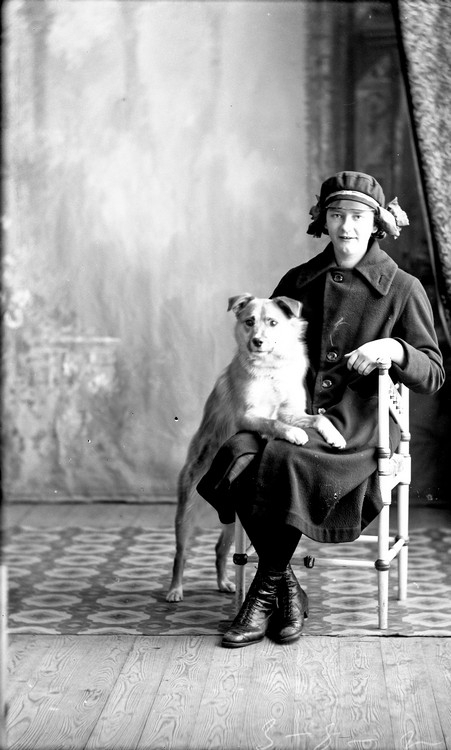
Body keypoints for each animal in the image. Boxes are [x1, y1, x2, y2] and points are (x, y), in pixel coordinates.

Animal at [166, 294, 346, 602]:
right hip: (186, 513)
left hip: (231, 521)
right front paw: (294, 434)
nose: (257, 341)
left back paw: (225, 583)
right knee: (181, 553)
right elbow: (272, 423)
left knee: (220, 548)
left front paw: (334, 436)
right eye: (249, 321)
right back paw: (175, 590)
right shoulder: (247, 416)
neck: (270, 368)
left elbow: (317, 418)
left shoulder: (293, 410)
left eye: (272, 322)